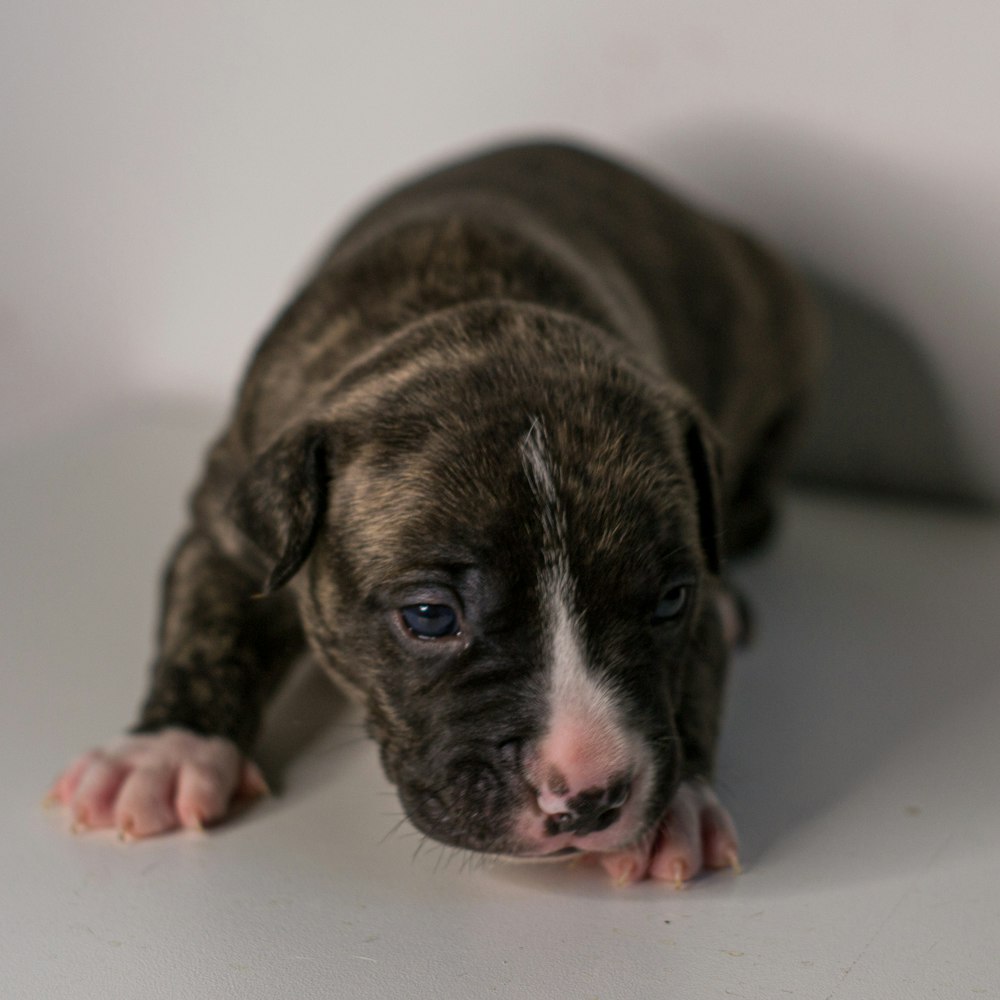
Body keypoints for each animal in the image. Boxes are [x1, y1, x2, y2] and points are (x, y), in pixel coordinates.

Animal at [48, 139, 820, 884]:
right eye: (429, 617)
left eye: (669, 603)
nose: (590, 798)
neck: (467, 302)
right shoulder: (229, 527)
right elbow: (206, 631)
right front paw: (164, 751)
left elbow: (698, 681)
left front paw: (677, 811)